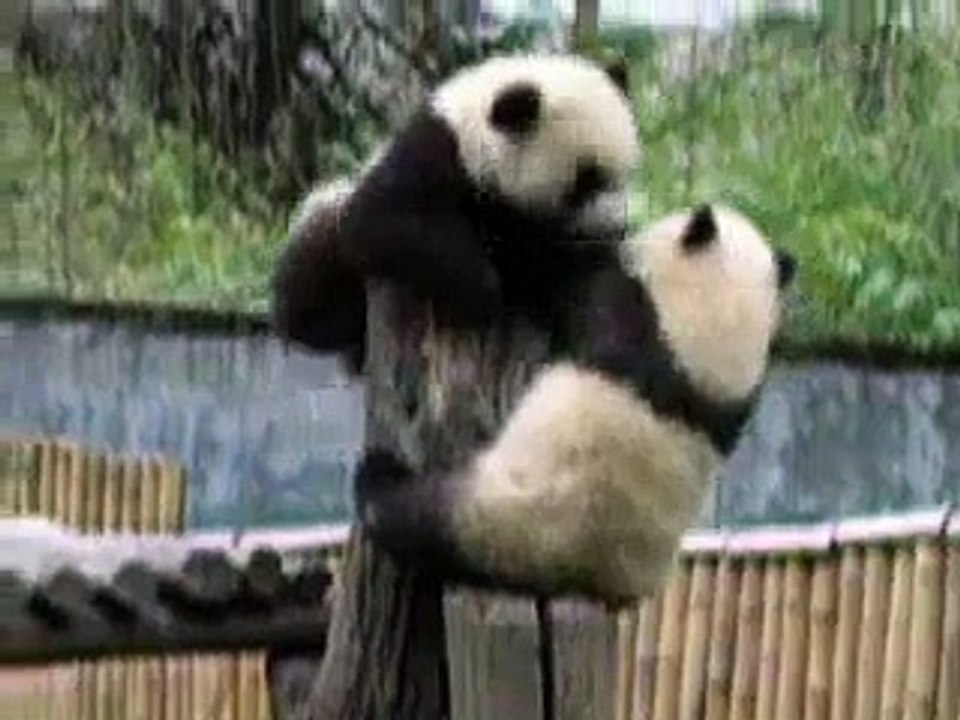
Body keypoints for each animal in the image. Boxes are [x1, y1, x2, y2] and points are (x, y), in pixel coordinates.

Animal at [270, 53, 638, 371]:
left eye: (623, 173)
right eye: (586, 180)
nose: (615, 227)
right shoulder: (434, 155)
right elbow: (379, 221)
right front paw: (484, 293)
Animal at [353, 204, 797, 606]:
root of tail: (583, 577)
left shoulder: (621, 315)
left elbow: (568, 288)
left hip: (501, 520)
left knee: (413, 516)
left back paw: (378, 477)